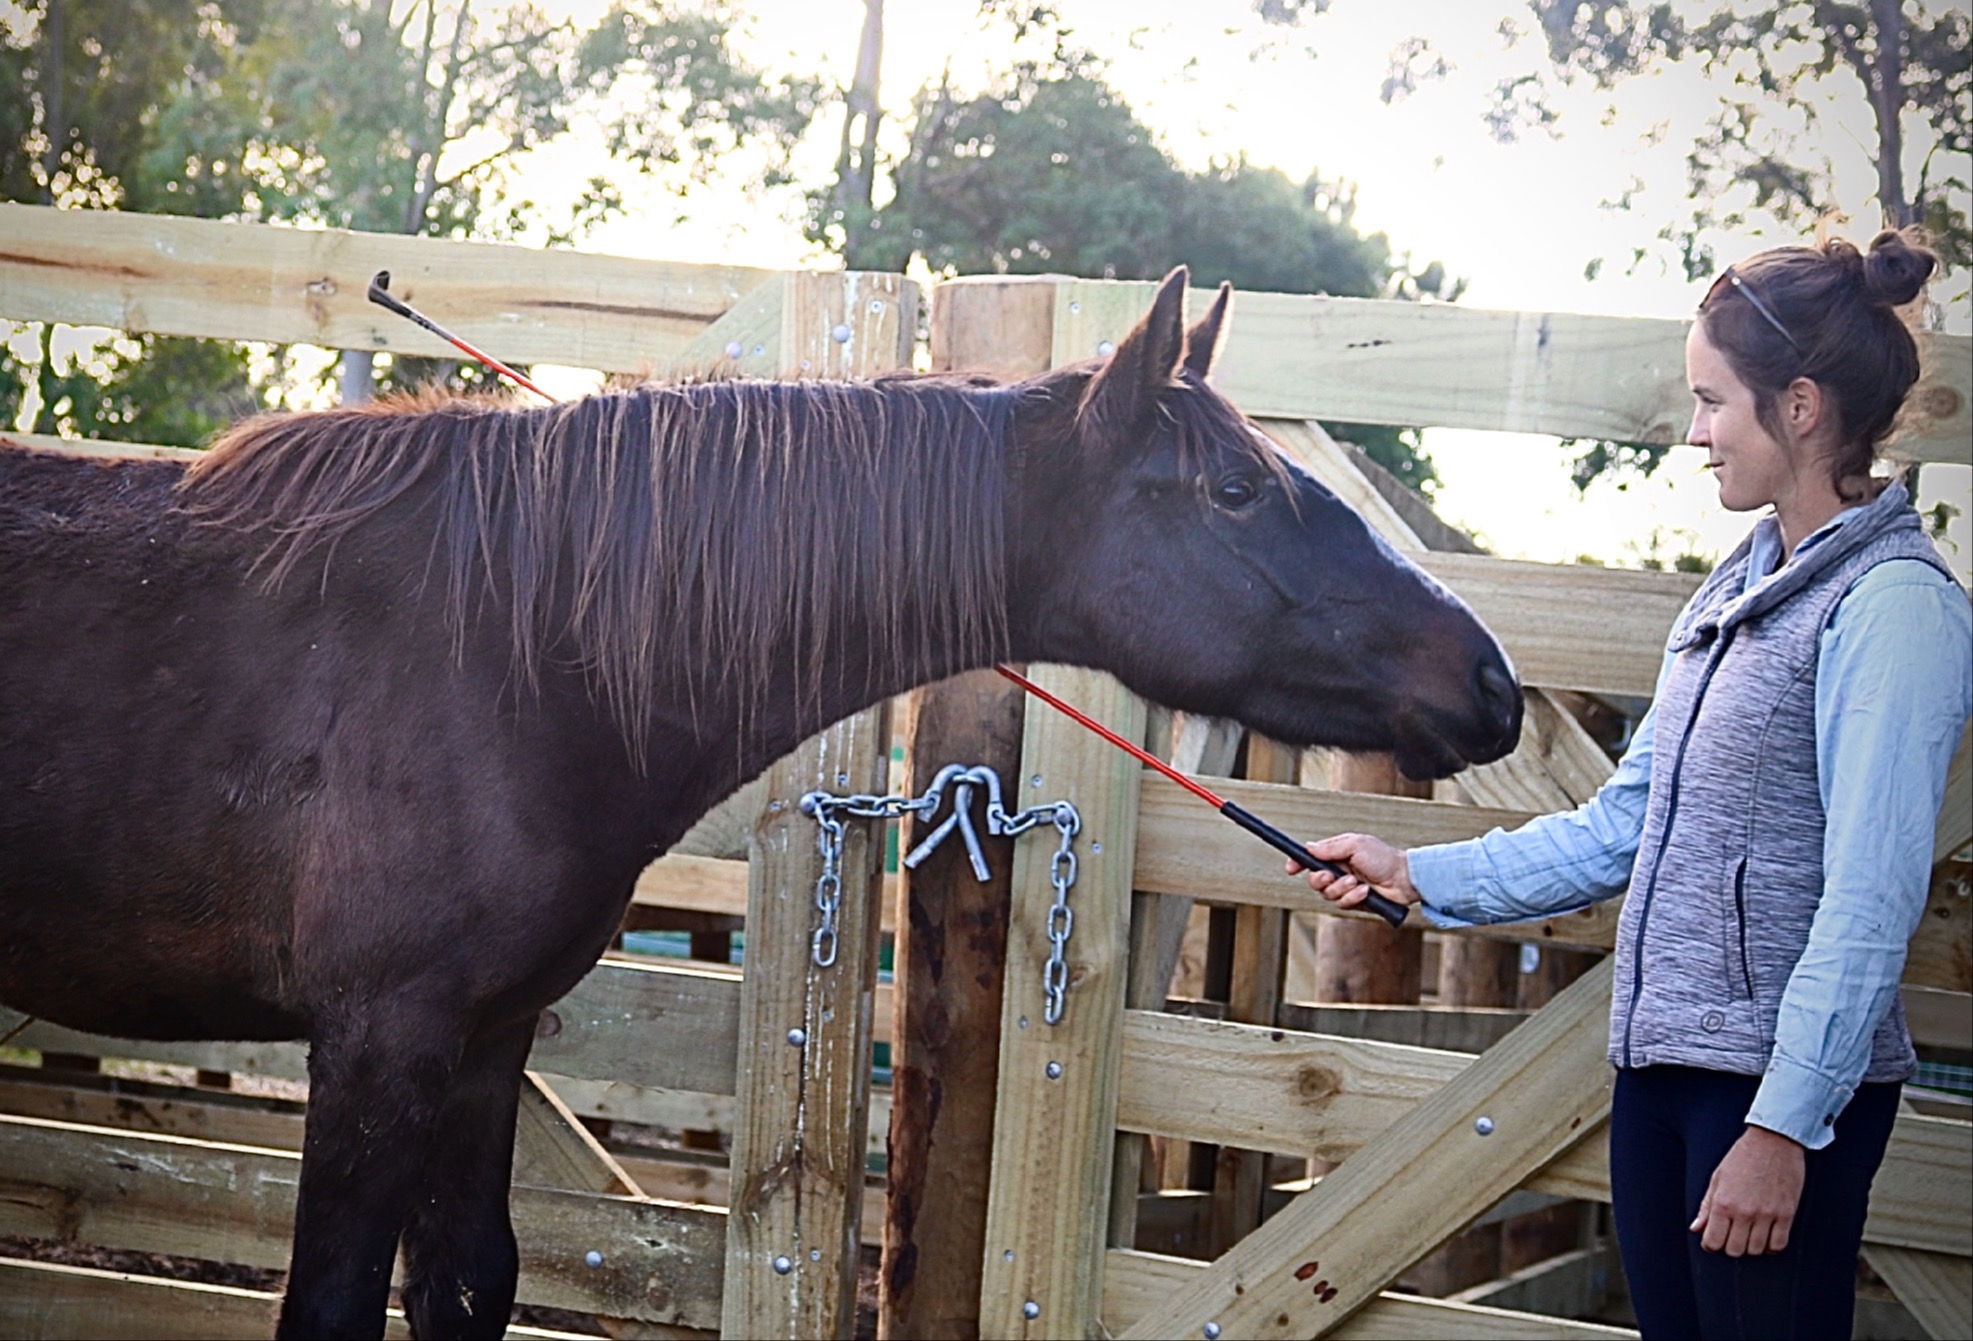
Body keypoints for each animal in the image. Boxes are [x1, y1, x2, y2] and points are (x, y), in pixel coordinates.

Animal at [0, 270, 1523, 1333]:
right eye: (1235, 488)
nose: (1490, 680)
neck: (503, 649)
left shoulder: (485, 1040)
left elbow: (466, 1285)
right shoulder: (378, 1043)